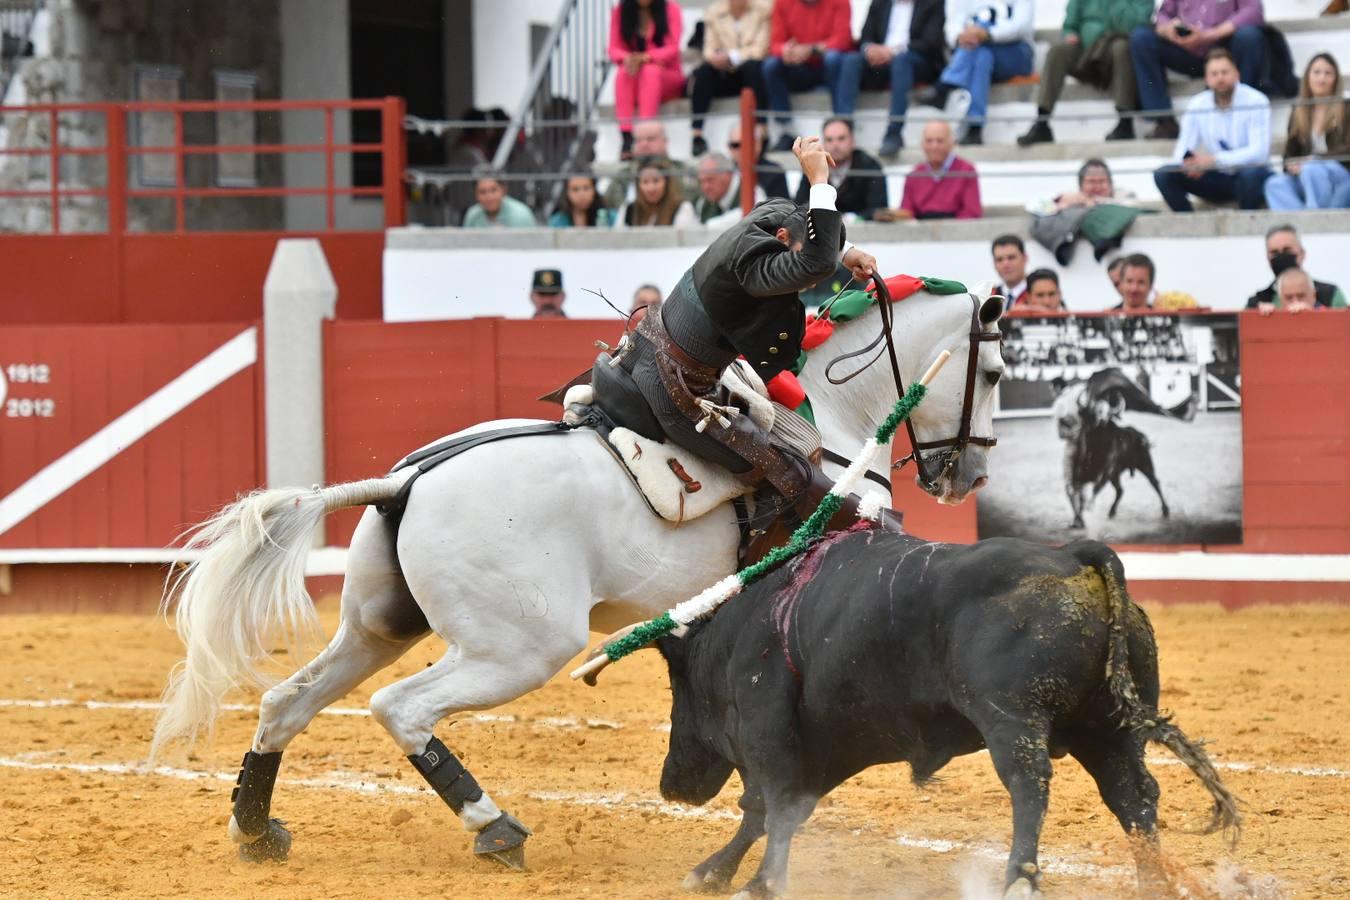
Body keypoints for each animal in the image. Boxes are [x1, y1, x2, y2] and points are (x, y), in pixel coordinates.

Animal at [150, 284, 1004, 868]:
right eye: (996, 370)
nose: (968, 477)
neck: (827, 425)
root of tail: (404, 482)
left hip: (376, 625)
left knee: (285, 702)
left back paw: (256, 830)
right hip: (520, 648)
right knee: (401, 707)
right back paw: (495, 828)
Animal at [658, 523, 1236, 895]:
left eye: (676, 696)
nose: (671, 786)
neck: (734, 639)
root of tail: (1073, 555)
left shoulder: (767, 728)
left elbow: (771, 806)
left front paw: (759, 884)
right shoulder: (825, 747)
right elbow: (778, 810)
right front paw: (717, 873)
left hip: (1012, 720)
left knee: (1031, 786)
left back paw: (1017, 881)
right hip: (1109, 731)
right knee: (1133, 796)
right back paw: (1152, 882)